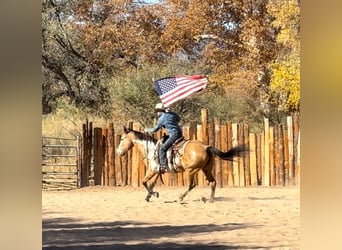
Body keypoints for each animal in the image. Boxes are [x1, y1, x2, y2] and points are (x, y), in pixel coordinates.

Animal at [115, 127, 248, 203]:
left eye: (121, 139)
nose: (118, 152)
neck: (151, 149)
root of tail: (206, 147)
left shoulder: (152, 170)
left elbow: (144, 182)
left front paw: (154, 194)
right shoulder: (157, 172)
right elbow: (151, 184)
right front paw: (148, 197)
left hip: (191, 170)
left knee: (192, 184)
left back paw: (181, 197)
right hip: (207, 169)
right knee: (213, 183)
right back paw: (210, 200)